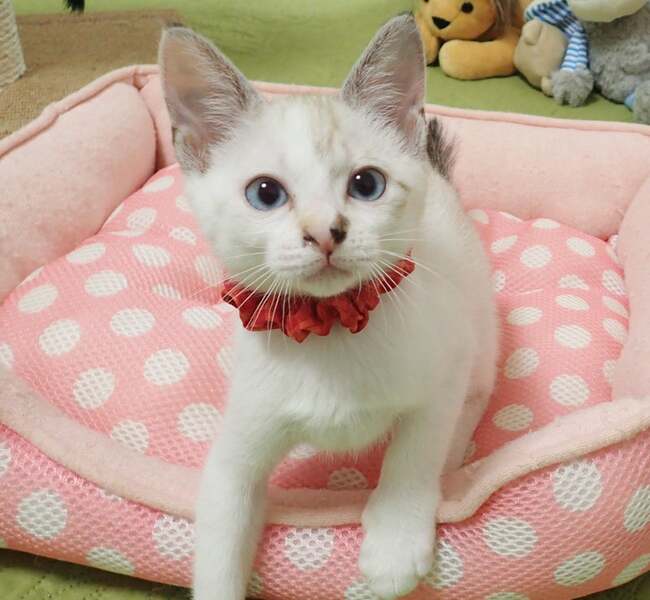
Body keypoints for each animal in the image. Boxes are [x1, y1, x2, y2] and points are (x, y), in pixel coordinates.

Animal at [158, 14, 498, 600]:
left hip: (480, 326)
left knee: (471, 402)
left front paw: (395, 540)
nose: (324, 233)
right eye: (265, 193)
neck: (329, 330)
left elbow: (416, 448)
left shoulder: (446, 363)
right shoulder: (236, 450)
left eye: (367, 183)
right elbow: (222, 530)